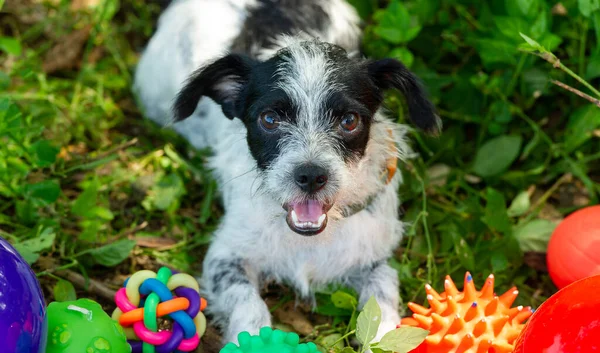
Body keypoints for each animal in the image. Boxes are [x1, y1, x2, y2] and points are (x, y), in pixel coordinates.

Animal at [132, 0, 440, 346]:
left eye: (349, 121)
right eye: (269, 119)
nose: (310, 176)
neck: (308, 241)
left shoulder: (371, 257)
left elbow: (384, 290)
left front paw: (385, 333)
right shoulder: (224, 257)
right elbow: (247, 301)